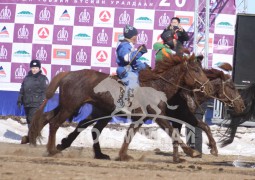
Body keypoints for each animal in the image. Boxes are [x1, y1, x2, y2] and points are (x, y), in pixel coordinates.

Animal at [28, 53, 212, 162]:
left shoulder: (141, 118)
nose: (208, 88)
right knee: (54, 123)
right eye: (196, 70)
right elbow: (173, 133)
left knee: (47, 118)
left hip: (68, 106)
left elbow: (129, 135)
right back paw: (52, 150)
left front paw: (123, 155)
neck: (157, 85)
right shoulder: (158, 116)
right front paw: (192, 152)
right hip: (70, 106)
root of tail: (68, 73)